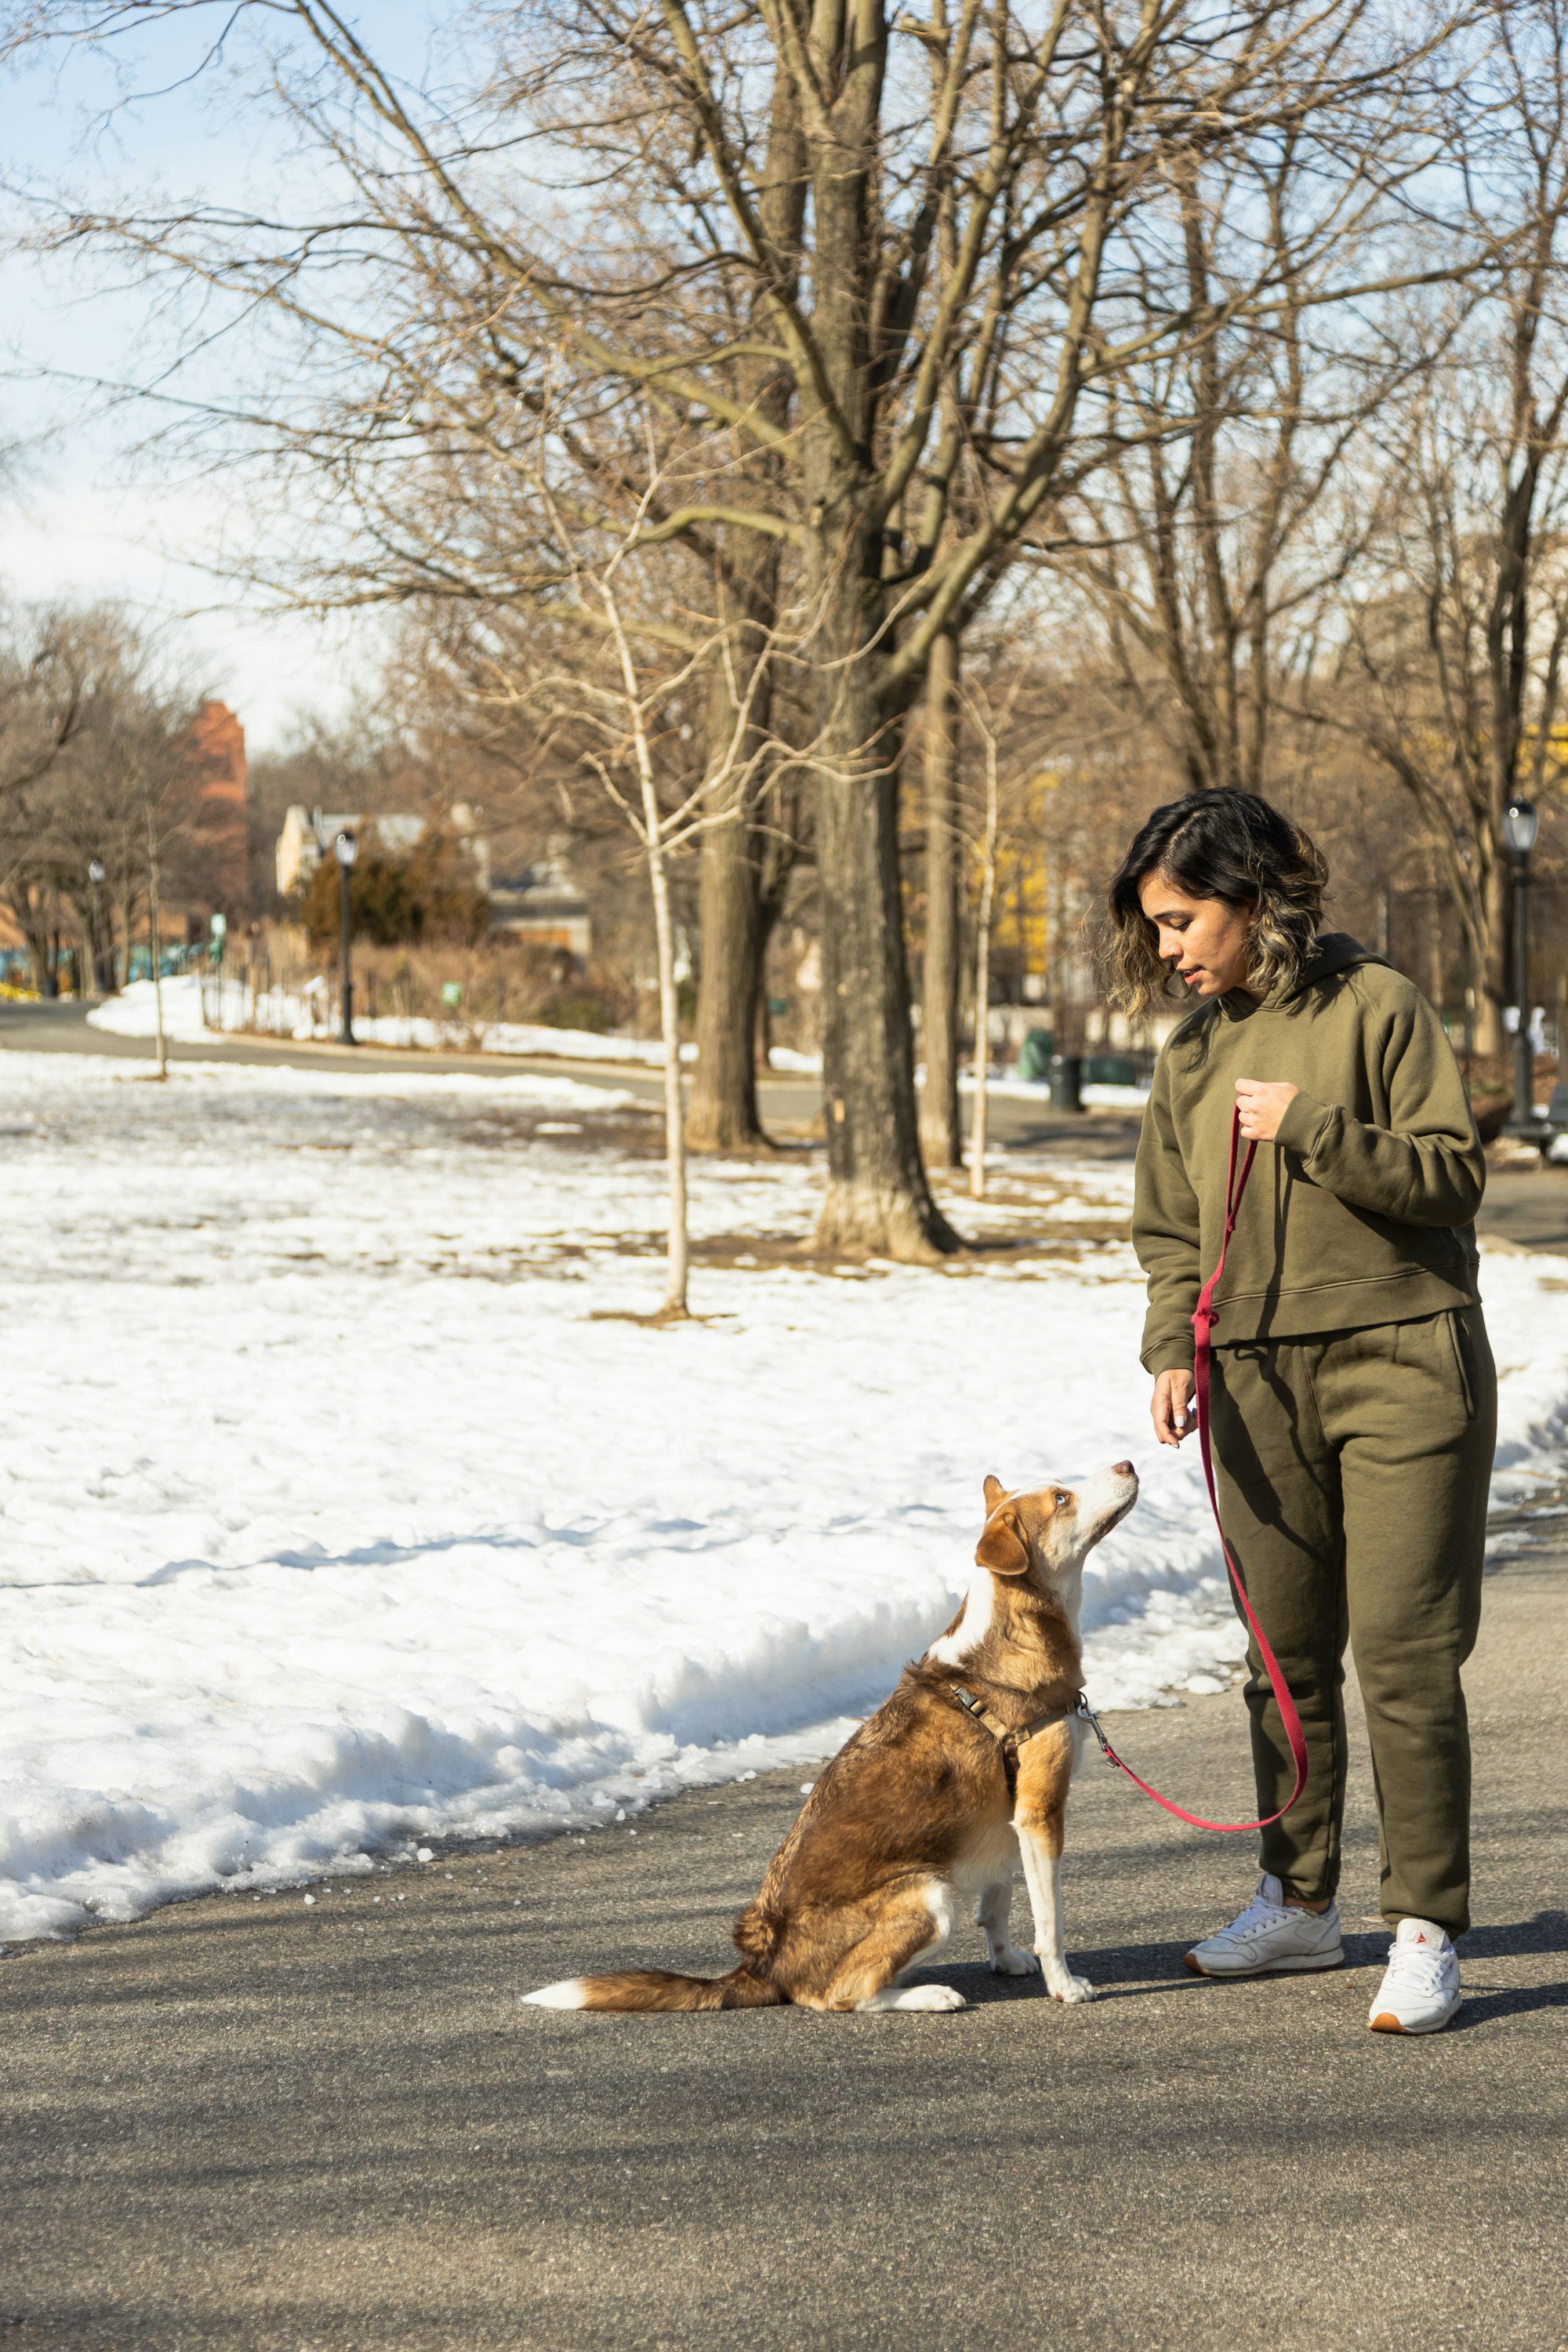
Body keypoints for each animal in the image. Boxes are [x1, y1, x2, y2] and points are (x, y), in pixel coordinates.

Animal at [521, 1458, 1133, 2013]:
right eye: (1061, 1498)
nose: (1127, 1463)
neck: (1014, 1635)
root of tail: (764, 1965)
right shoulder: (1040, 1812)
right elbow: (1050, 1920)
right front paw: (1064, 1986)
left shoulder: (1007, 1818)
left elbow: (999, 1903)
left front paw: (1006, 1961)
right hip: (930, 1894)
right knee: (839, 1996)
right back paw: (928, 1995)